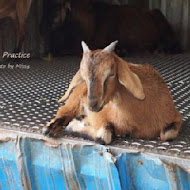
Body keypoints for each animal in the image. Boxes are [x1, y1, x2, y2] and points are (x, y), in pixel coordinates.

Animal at [42, 40, 182, 144]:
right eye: (83, 76)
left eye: (110, 74)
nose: (92, 105)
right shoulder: (99, 117)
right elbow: (104, 136)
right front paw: (74, 125)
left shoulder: (175, 118)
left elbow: (167, 134)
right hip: (76, 98)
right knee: (64, 111)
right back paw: (50, 128)